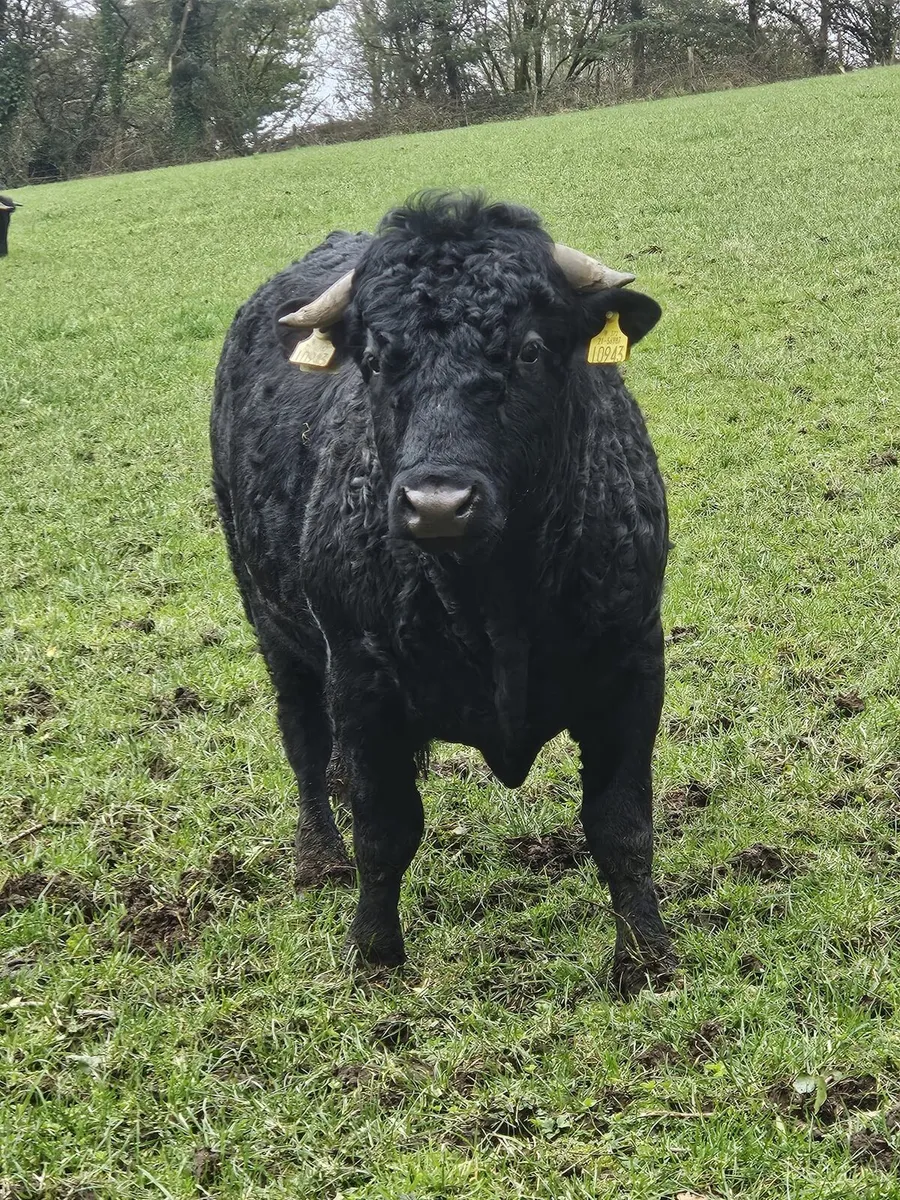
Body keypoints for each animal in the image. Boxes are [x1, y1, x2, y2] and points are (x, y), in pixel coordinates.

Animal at [211, 192, 676, 995]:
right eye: (372, 360)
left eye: (528, 350)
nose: (437, 503)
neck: (495, 603)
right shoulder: (359, 680)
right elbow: (384, 830)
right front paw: (374, 954)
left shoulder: (633, 667)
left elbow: (622, 826)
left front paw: (643, 958)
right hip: (275, 630)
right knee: (305, 744)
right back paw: (317, 854)